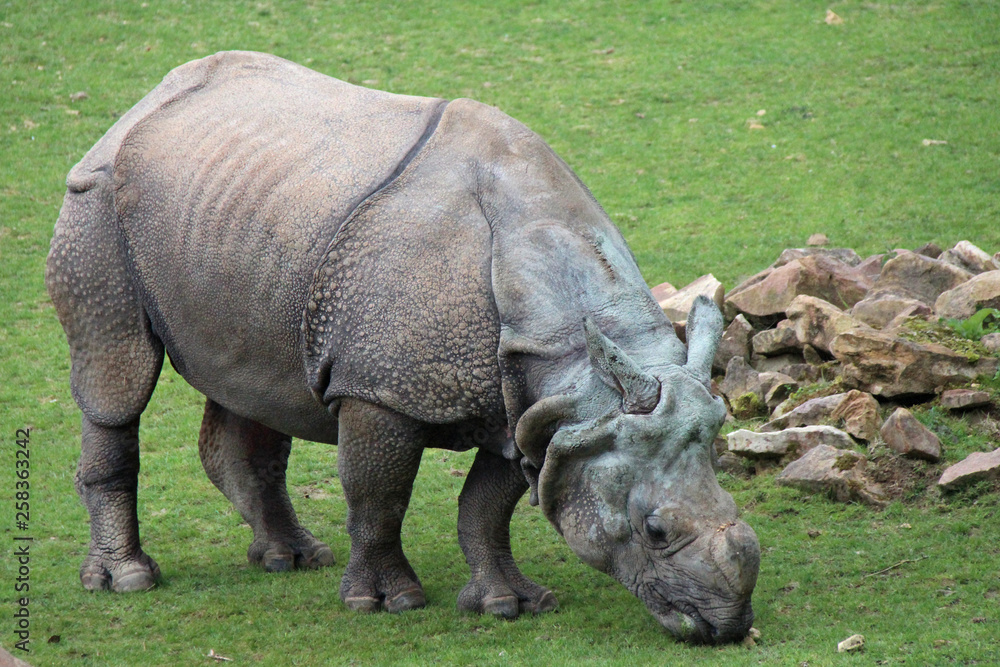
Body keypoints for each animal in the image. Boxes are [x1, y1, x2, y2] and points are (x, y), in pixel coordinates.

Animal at [46, 51, 759, 643]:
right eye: (654, 531)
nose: (725, 628)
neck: (576, 359)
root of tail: (140, 105)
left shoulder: (535, 407)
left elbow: (486, 507)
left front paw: (511, 605)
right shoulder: (382, 389)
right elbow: (379, 496)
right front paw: (386, 604)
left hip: (239, 219)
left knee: (253, 381)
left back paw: (292, 560)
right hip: (97, 200)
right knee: (117, 379)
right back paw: (128, 580)